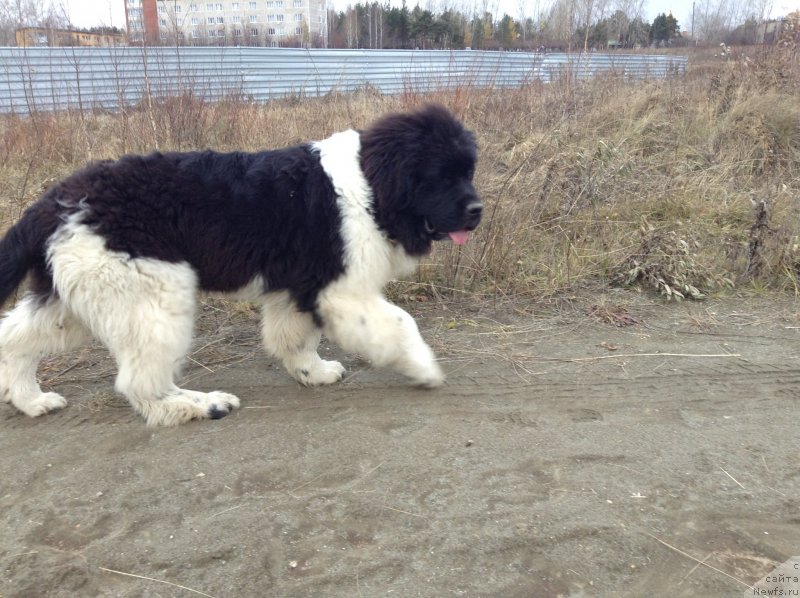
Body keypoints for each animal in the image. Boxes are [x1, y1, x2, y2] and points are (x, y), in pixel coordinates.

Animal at [0, 105, 482, 428]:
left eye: (468, 172)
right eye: (440, 176)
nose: (477, 211)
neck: (370, 185)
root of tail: (56, 199)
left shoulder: (298, 286)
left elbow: (293, 338)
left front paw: (313, 373)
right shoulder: (342, 289)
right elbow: (400, 323)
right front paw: (424, 368)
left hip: (76, 296)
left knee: (15, 338)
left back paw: (30, 400)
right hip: (152, 295)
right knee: (140, 381)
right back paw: (197, 405)